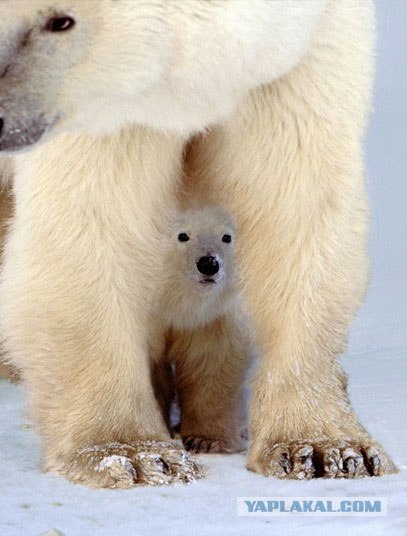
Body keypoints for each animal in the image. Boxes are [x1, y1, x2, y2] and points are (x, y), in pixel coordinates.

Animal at [151, 205, 250, 452]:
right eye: (183, 235)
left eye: (226, 237)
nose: (208, 263)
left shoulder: (213, 321)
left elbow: (210, 367)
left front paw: (203, 440)